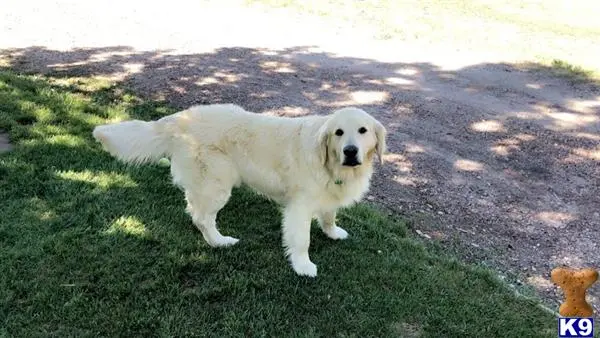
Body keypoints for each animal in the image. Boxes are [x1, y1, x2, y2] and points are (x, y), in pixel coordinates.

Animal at [92, 103, 386, 278]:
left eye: (362, 130)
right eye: (339, 133)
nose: (350, 151)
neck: (332, 164)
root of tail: (179, 118)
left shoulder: (327, 194)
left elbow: (329, 215)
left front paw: (333, 232)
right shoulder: (299, 207)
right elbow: (302, 240)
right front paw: (303, 266)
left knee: (193, 208)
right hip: (217, 183)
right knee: (202, 217)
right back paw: (220, 241)